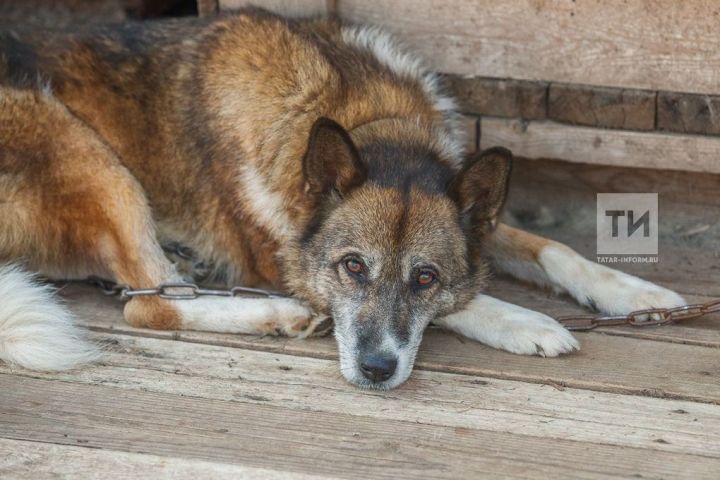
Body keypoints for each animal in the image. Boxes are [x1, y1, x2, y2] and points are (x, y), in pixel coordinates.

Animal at [0, 9, 688, 388]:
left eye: (424, 275)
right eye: (352, 267)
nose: (376, 372)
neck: (362, 117)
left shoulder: (475, 216)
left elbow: (550, 249)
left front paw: (639, 295)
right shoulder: (281, 261)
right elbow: (469, 299)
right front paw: (526, 322)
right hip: (81, 148)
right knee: (149, 304)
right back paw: (273, 314)